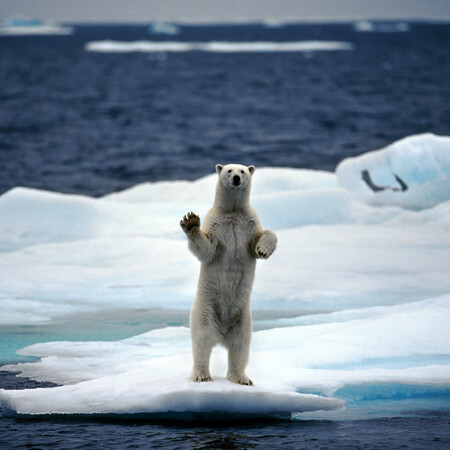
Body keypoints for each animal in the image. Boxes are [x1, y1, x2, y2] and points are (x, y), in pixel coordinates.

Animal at [180, 163, 278, 384]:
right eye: (228, 170)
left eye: (242, 171)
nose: (236, 178)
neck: (232, 212)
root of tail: (222, 332)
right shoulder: (216, 226)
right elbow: (207, 250)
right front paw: (191, 223)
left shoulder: (249, 225)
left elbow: (263, 237)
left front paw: (263, 249)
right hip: (206, 309)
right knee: (202, 340)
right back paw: (202, 374)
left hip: (243, 317)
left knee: (240, 346)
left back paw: (241, 378)